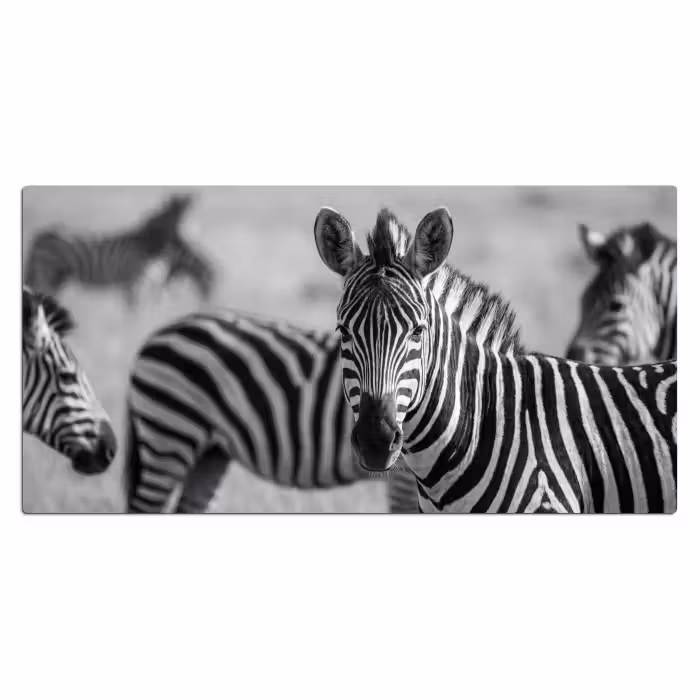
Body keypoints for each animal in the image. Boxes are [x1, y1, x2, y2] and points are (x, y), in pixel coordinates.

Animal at [23, 193, 214, 304]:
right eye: (176, 231)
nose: (207, 304)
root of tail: (41, 236)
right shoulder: (133, 282)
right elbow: (134, 312)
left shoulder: (140, 284)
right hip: (46, 274)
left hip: (58, 277)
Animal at [123, 228, 524, 514]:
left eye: (417, 332)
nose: (377, 437)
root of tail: (155, 336)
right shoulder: (403, 480)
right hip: (170, 432)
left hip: (209, 450)